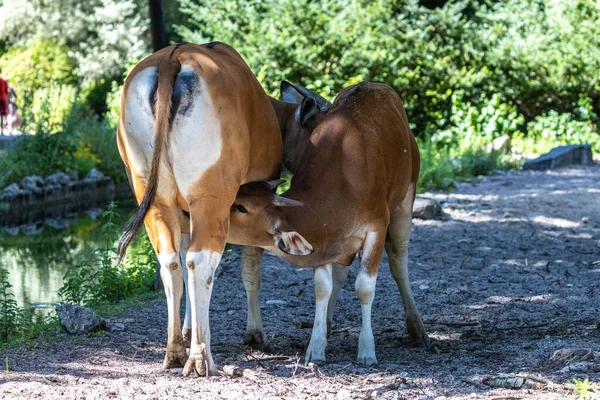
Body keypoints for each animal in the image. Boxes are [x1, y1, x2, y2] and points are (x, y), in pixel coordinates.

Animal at [118, 42, 284, 376]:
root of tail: (173, 58)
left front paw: (186, 330)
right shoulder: (253, 207)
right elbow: (251, 269)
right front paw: (255, 334)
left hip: (152, 196)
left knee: (171, 263)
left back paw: (175, 351)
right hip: (211, 198)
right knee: (200, 262)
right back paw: (200, 357)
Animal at [227, 81, 428, 366]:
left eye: (241, 207)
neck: (342, 181)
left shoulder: (377, 227)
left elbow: (365, 287)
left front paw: (367, 349)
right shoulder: (323, 236)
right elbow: (323, 288)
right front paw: (316, 345)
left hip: (405, 200)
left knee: (399, 262)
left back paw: (416, 328)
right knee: (342, 272)